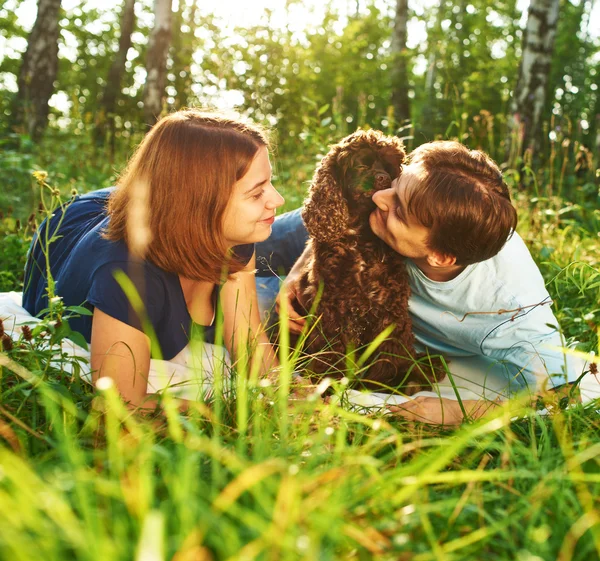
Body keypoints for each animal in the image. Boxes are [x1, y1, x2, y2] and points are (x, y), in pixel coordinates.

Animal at [292, 130, 442, 394]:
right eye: (361, 165)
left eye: (390, 167)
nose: (384, 178)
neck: (359, 239)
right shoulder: (331, 308)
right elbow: (332, 349)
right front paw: (329, 380)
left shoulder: (389, 304)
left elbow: (390, 349)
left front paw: (389, 381)